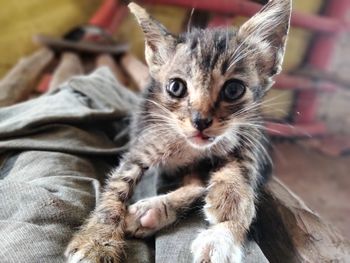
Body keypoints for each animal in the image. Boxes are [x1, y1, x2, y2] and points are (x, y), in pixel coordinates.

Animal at [65, 1, 290, 262]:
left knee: (200, 184)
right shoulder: (145, 145)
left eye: (233, 89)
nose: (200, 121)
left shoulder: (250, 131)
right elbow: (116, 189)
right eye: (176, 87)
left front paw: (228, 216)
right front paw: (97, 240)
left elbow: (243, 172)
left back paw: (156, 213)